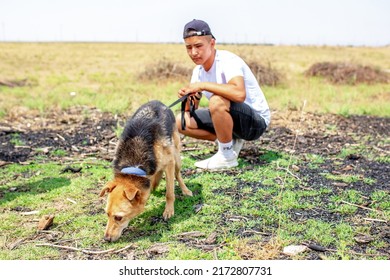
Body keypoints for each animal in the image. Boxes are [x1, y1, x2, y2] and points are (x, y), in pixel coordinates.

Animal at [100, 100, 193, 241]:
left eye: (119, 217)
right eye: (107, 214)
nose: (106, 239)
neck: (134, 166)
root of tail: (158, 102)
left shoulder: (169, 164)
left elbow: (169, 193)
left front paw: (168, 211)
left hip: (176, 155)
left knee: (178, 175)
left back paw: (185, 190)